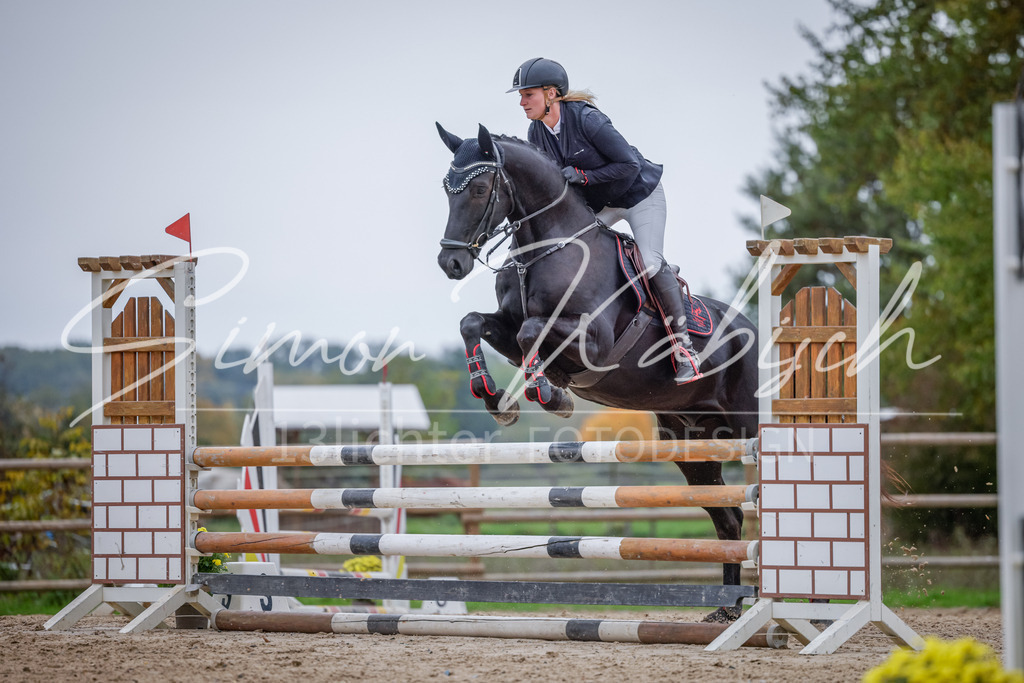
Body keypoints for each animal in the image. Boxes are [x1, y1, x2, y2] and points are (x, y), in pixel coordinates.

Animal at [435, 123, 759, 605]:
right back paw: (728, 609)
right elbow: (475, 323)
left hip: (749, 425)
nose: (451, 262)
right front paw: (499, 400)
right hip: (693, 441)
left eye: (477, 188)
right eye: (446, 189)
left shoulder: (596, 341)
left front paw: (551, 395)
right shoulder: (506, 329)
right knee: (729, 519)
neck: (546, 248)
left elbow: (533, 331)